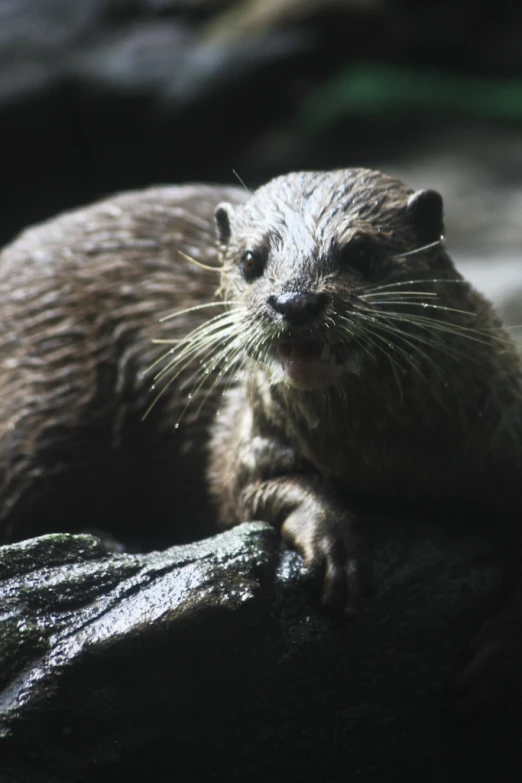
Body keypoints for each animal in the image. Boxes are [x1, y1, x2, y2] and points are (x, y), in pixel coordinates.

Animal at [1, 167, 520, 704]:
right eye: (252, 259)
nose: (295, 301)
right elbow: (246, 491)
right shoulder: (245, 434)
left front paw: (502, 647)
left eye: (361, 253)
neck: (381, 461)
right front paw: (334, 539)